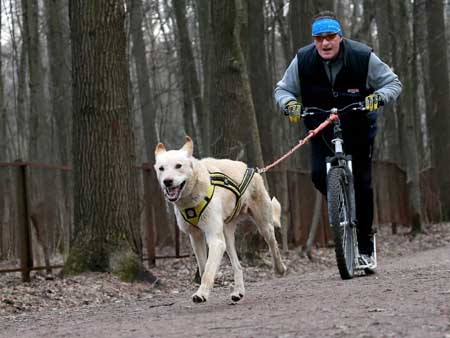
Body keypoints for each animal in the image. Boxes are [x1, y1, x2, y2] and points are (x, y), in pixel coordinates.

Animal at [155, 136, 284, 302]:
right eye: (161, 168)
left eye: (178, 166)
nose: (167, 181)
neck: (192, 197)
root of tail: (252, 170)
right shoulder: (196, 237)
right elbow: (204, 267)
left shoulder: (215, 241)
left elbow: (208, 270)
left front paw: (202, 293)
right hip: (227, 238)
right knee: (237, 266)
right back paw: (238, 292)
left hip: (264, 226)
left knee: (273, 244)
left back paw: (280, 268)